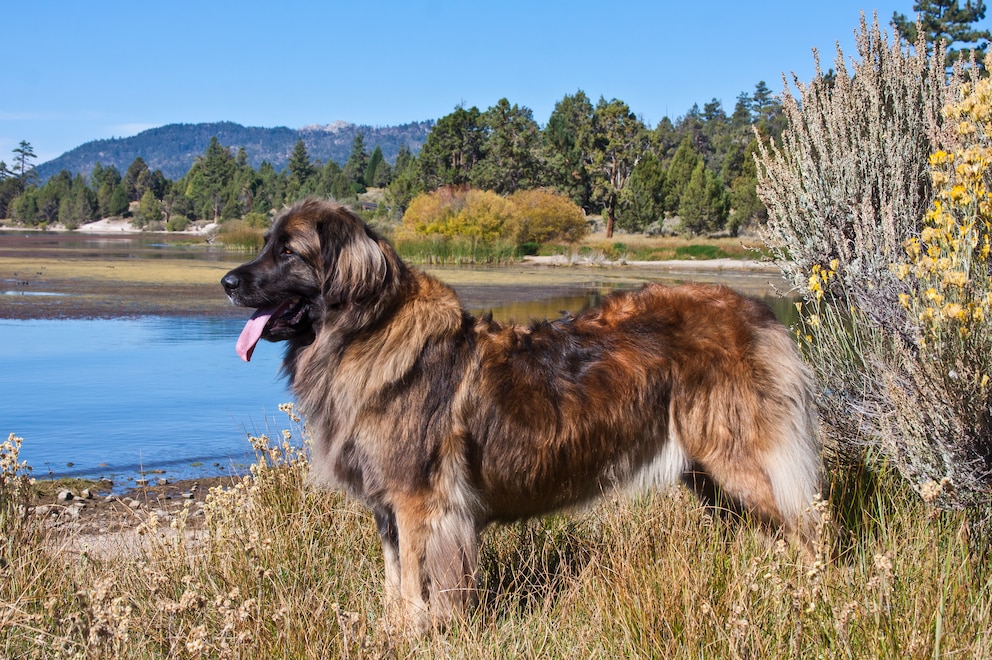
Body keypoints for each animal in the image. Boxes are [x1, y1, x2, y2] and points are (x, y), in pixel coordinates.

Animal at [225, 197, 820, 636]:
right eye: (264, 245)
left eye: (288, 252)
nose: (229, 283)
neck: (363, 333)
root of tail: (757, 313)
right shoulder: (387, 506)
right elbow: (395, 581)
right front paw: (395, 631)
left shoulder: (418, 502)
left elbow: (415, 581)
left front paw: (416, 634)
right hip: (708, 476)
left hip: (741, 461)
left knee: (807, 530)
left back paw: (815, 593)